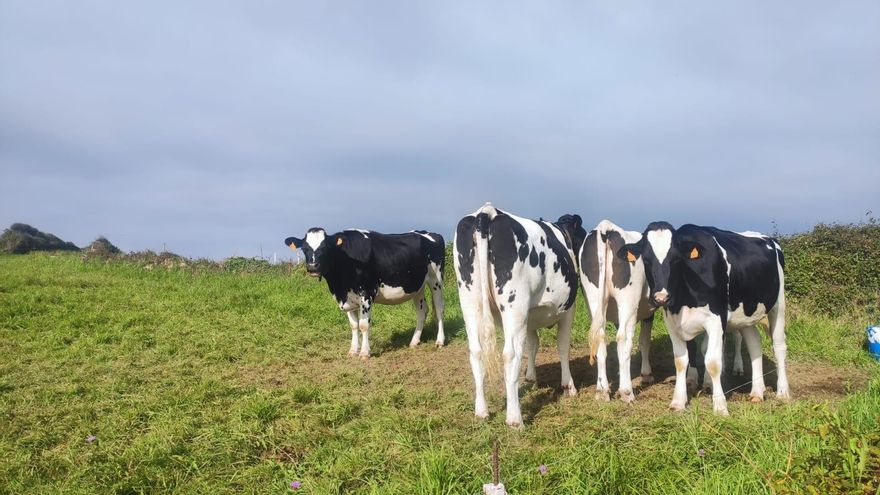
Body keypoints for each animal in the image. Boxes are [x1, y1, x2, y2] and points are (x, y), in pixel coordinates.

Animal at [284, 228, 446, 359]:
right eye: (304, 248)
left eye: (326, 247)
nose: (313, 266)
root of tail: (428, 232)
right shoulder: (348, 298)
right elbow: (354, 325)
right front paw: (353, 351)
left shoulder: (367, 293)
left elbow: (363, 325)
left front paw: (364, 353)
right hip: (416, 287)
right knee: (422, 311)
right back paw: (414, 341)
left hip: (436, 279)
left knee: (439, 310)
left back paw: (440, 341)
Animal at [453, 203, 585, 428]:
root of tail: (488, 211)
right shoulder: (568, 309)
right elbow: (562, 346)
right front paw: (569, 386)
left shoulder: (529, 316)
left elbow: (532, 345)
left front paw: (531, 378)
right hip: (514, 306)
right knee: (510, 354)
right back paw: (515, 419)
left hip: (469, 301)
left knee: (476, 352)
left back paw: (481, 411)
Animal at [620, 222, 789, 415]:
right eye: (647, 260)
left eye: (676, 259)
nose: (661, 298)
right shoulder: (672, 321)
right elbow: (680, 361)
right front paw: (678, 402)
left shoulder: (716, 319)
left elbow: (713, 362)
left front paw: (720, 406)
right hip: (746, 313)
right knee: (754, 343)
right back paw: (757, 392)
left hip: (778, 304)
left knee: (779, 346)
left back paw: (783, 392)